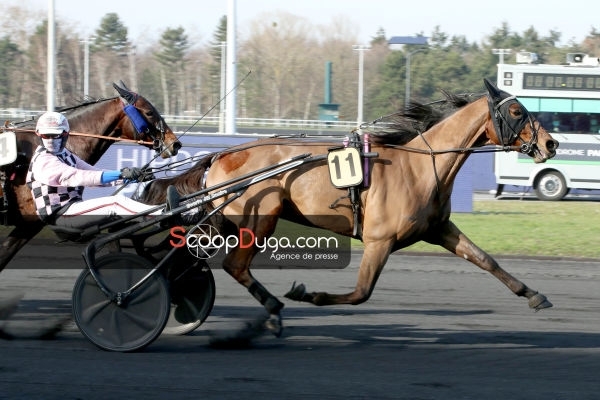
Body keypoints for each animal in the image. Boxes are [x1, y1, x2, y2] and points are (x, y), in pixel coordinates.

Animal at [138, 79, 560, 336]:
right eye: (518, 111)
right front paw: (311, 295)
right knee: (233, 266)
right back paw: (271, 308)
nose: (551, 144)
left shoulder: (439, 229)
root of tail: (222, 154)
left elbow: (486, 259)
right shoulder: (379, 240)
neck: (421, 165)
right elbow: (361, 292)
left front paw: (533, 295)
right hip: (259, 217)